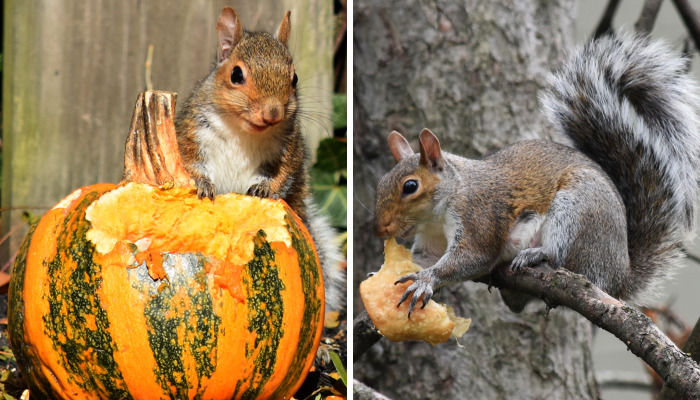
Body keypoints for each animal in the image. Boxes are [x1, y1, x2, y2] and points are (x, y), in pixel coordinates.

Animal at [175, 7, 344, 312]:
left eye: (295, 78)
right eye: (236, 74)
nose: (272, 113)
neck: (244, 132)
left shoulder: (290, 149)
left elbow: (284, 174)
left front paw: (266, 189)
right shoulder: (191, 131)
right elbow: (188, 161)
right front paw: (202, 184)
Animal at [373, 33, 700, 315]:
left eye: (410, 186)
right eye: (380, 184)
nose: (380, 229)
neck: (441, 208)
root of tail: (620, 274)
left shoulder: (479, 218)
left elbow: (471, 257)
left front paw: (426, 280)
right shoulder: (430, 242)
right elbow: (424, 260)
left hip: (579, 209)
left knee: (568, 260)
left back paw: (538, 254)